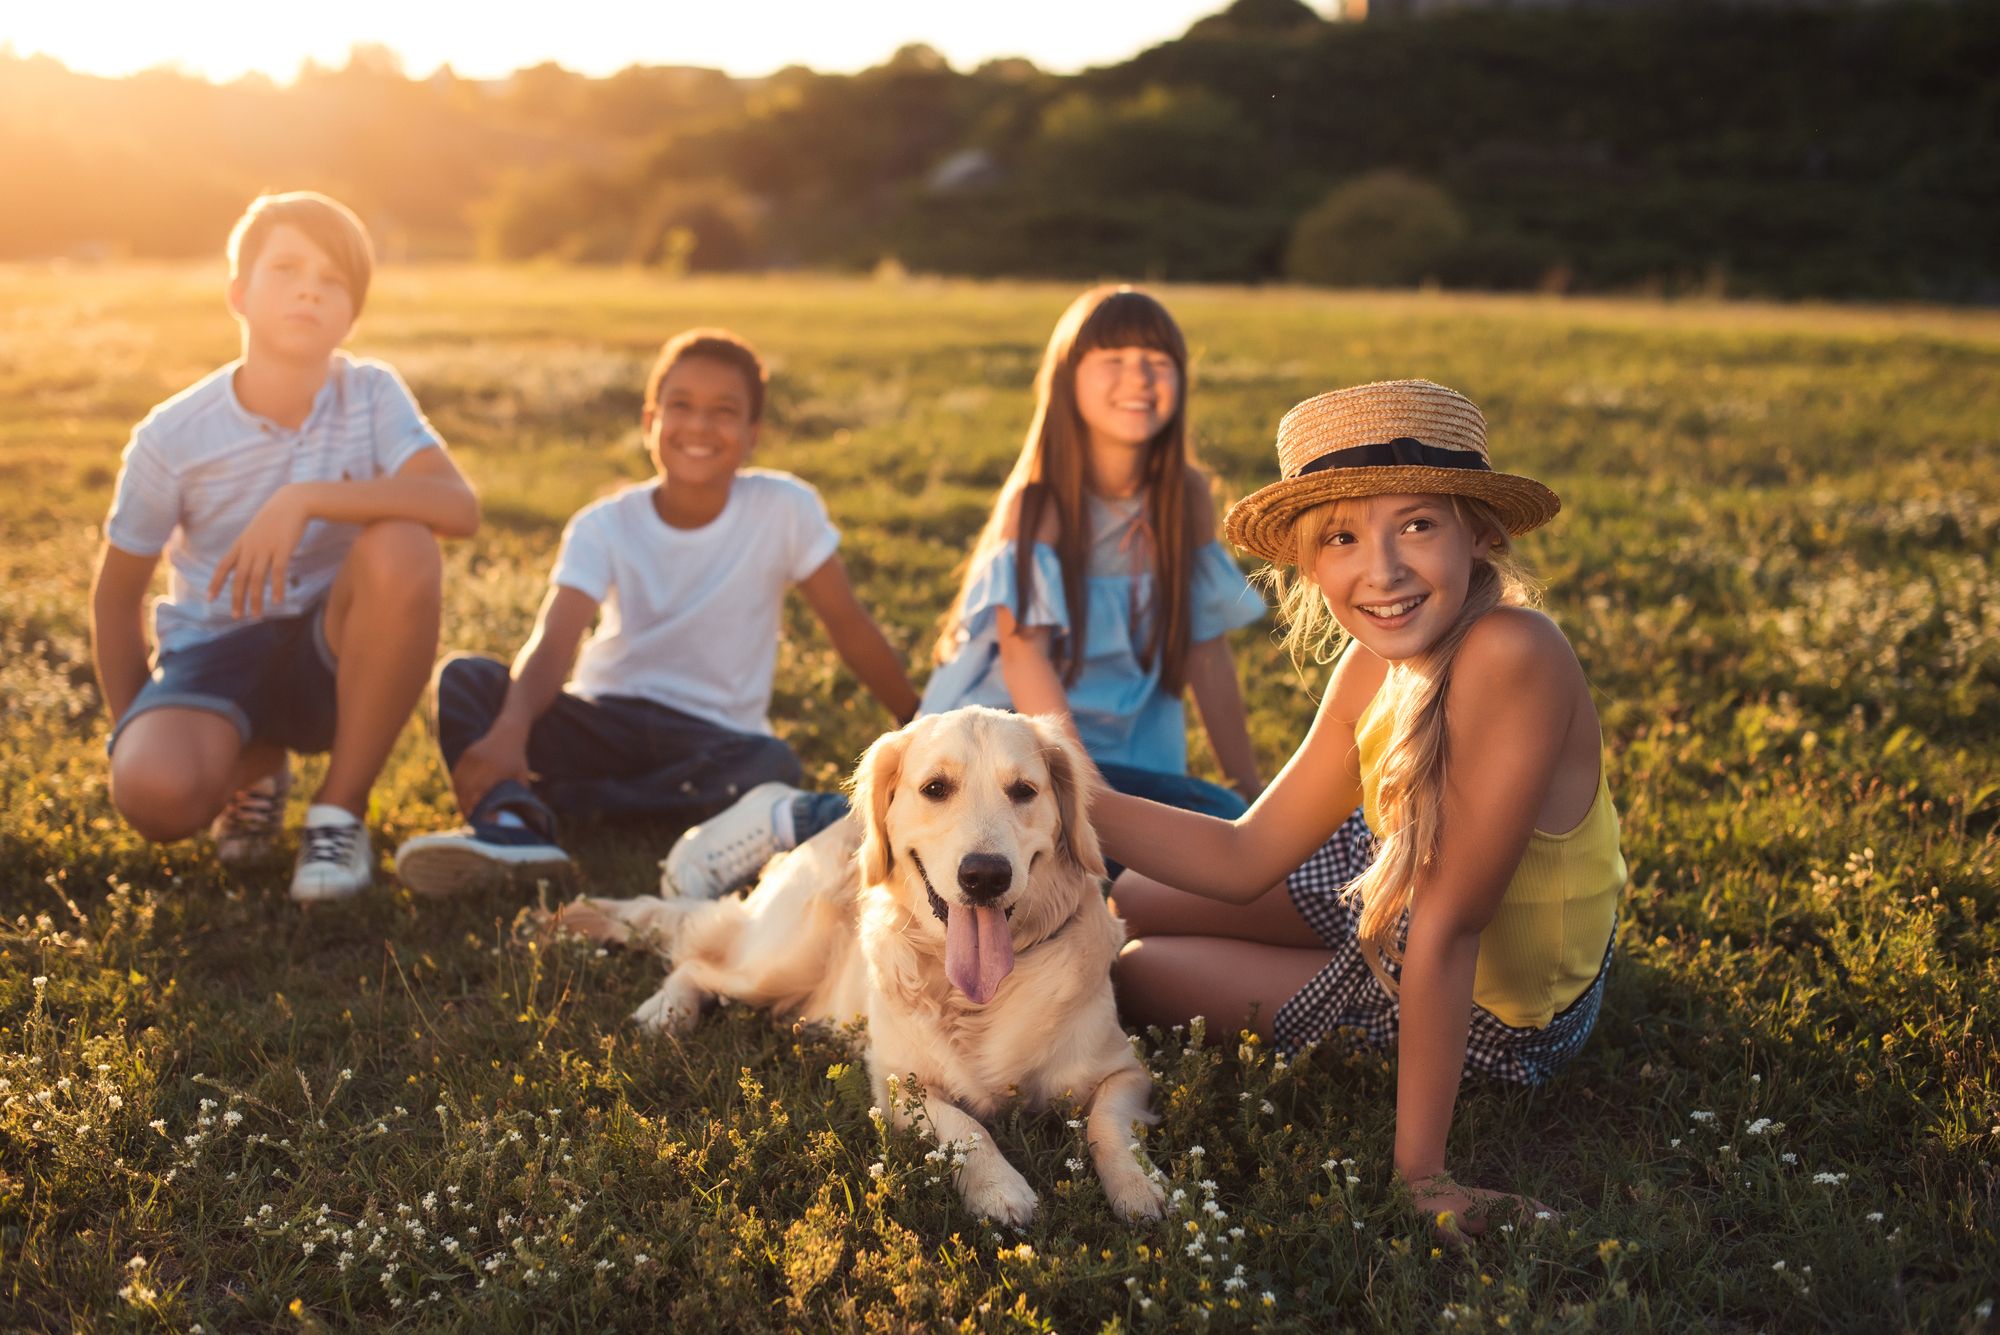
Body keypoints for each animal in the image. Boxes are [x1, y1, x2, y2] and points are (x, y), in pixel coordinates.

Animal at [556, 707, 1168, 1231]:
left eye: (1024, 791)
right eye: (935, 789)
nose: (985, 876)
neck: (977, 996)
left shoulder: (1125, 1071)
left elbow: (1108, 1126)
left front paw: (1140, 1187)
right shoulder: (898, 1084)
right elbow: (966, 1126)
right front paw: (999, 1188)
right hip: (776, 963)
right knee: (697, 959)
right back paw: (668, 1009)